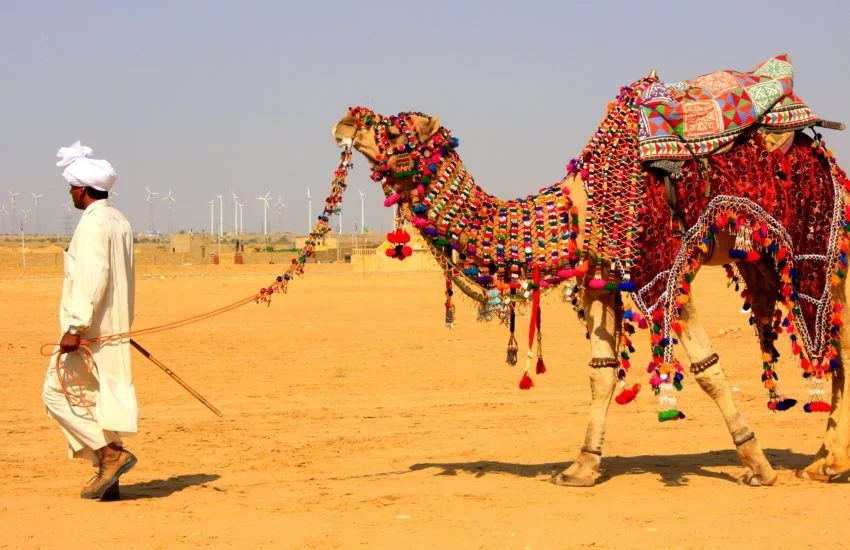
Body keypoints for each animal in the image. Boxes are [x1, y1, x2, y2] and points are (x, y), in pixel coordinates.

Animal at [331, 58, 850, 486]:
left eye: (397, 129)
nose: (345, 120)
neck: (577, 210)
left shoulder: (663, 270)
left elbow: (707, 369)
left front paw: (758, 466)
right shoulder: (601, 280)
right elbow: (601, 374)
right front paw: (581, 467)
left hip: (819, 247)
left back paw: (826, 463)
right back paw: (823, 461)